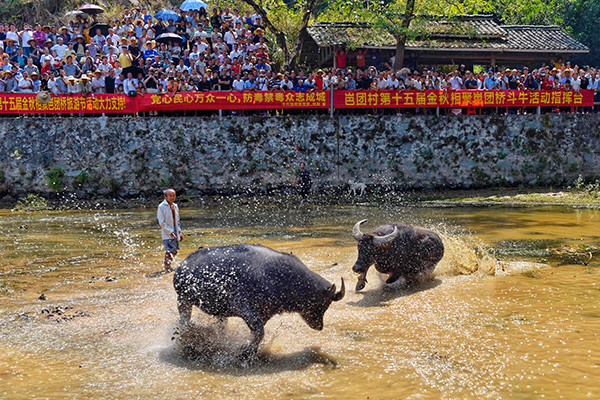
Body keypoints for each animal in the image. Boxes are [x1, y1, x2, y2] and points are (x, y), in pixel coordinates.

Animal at [171, 244, 344, 356]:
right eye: (324, 303)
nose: (320, 326)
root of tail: (183, 265)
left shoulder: (264, 313)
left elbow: (258, 333)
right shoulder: (243, 308)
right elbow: (260, 331)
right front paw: (245, 351)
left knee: (220, 323)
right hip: (183, 300)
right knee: (184, 322)